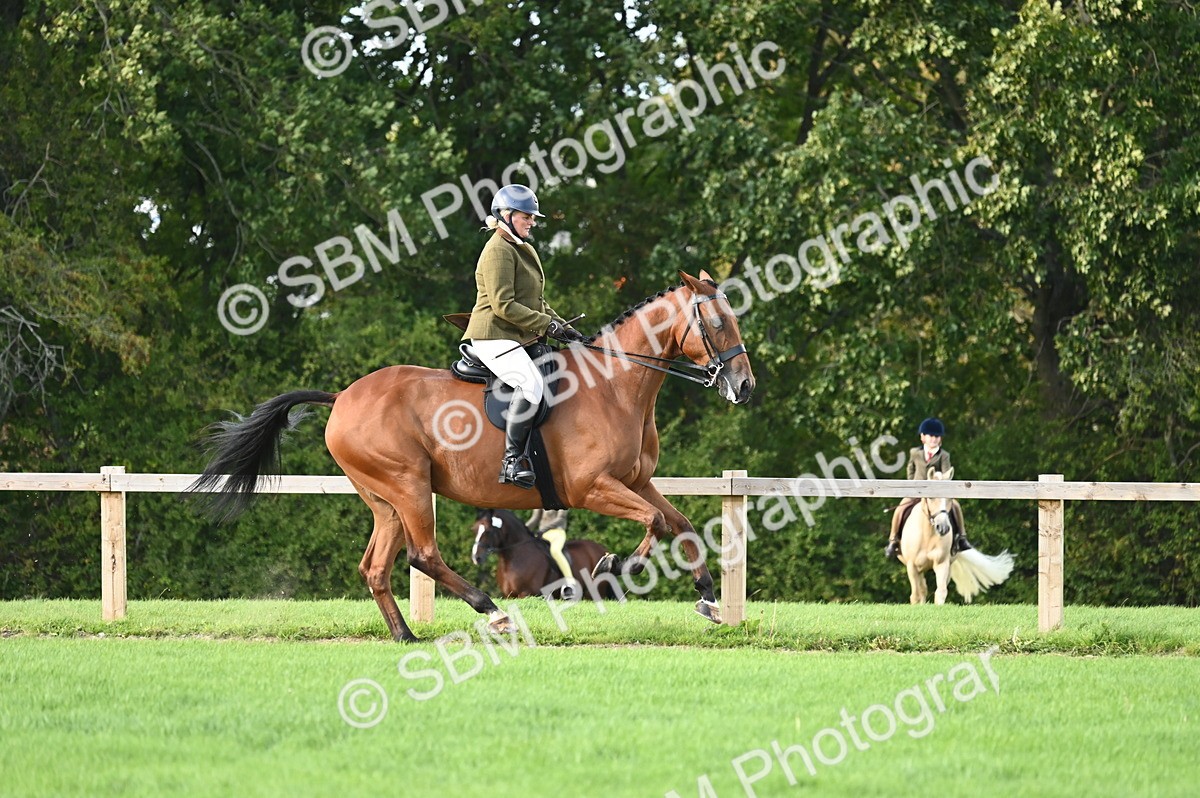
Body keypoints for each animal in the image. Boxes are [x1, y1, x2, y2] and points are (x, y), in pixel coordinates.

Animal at [470, 508, 615, 601]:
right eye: (475, 529)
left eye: (488, 531)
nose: (476, 557)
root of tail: (602, 549)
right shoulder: (509, 596)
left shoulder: (526, 594)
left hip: (596, 592)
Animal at [899, 466, 1014, 604]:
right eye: (931, 497)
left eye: (950, 498)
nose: (943, 527)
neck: (927, 535)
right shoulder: (912, 566)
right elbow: (916, 595)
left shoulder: (942, 563)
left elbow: (941, 592)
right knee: (921, 590)